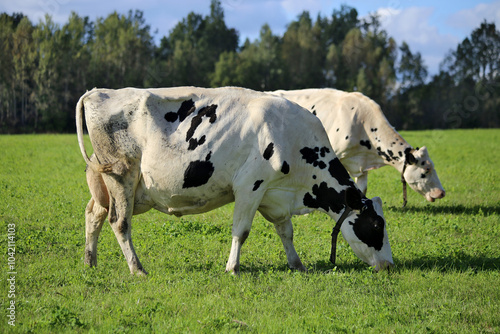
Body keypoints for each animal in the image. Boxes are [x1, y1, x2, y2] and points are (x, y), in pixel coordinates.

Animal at [76, 87, 392, 276]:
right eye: (377, 225)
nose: (388, 265)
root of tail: (97, 92)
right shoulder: (250, 186)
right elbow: (241, 231)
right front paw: (232, 268)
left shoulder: (274, 195)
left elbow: (286, 231)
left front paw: (297, 264)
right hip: (122, 176)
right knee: (119, 222)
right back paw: (137, 269)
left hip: (114, 186)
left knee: (94, 214)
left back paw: (90, 262)